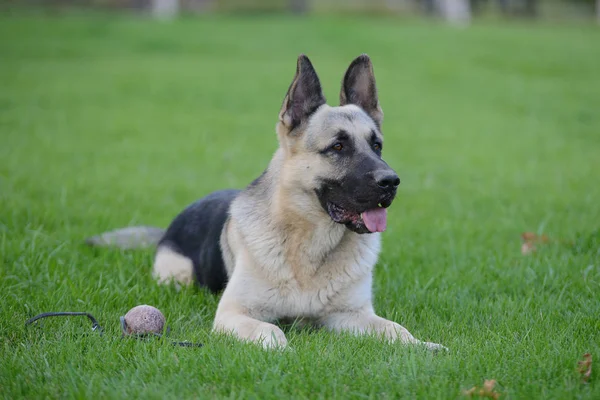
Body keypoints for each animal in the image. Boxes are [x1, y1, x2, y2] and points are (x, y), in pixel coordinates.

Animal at [88, 54, 446, 350]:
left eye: (377, 146)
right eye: (338, 147)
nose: (391, 182)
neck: (309, 250)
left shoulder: (349, 315)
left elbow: (395, 329)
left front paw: (422, 346)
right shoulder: (233, 314)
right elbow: (272, 331)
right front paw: (282, 350)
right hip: (177, 277)